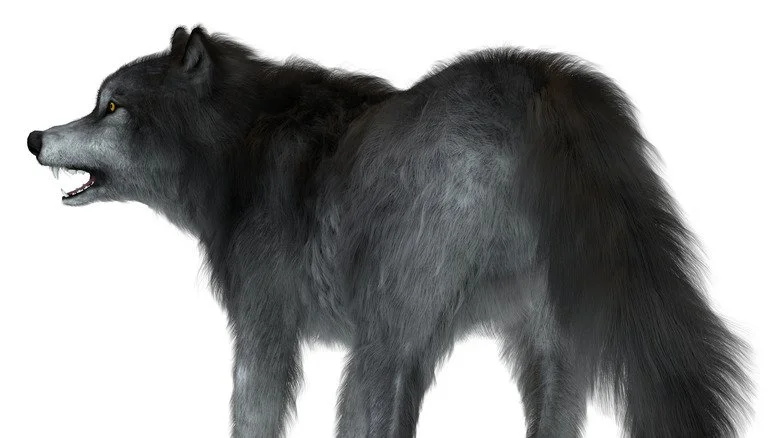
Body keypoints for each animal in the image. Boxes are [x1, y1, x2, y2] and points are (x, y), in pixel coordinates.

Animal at [28, 26, 752, 437]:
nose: (34, 137)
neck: (241, 144)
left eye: (112, 105)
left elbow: (251, 416)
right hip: (552, 353)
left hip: (385, 347)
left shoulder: (264, 331)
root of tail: (536, 78)